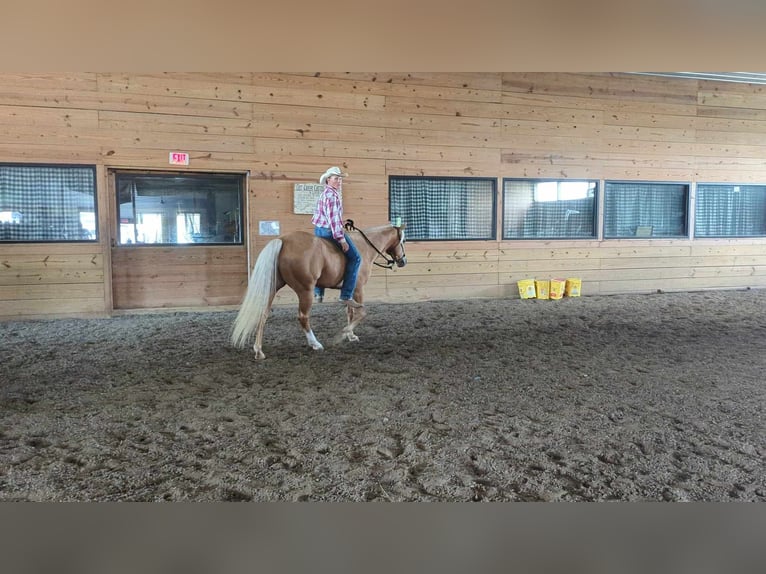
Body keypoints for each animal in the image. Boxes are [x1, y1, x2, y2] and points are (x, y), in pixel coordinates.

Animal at [231, 224, 408, 360]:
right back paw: (315, 344)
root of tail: (283, 240)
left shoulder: (348, 292)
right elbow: (361, 313)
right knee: (303, 317)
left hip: (272, 288)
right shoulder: (358, 289)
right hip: (306, 290)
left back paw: (258, 350)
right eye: (403, 240)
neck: (364, 247)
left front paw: (351, 335)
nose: (403, 261)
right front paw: (343, 334)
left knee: (263, 314)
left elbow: (350, 312)